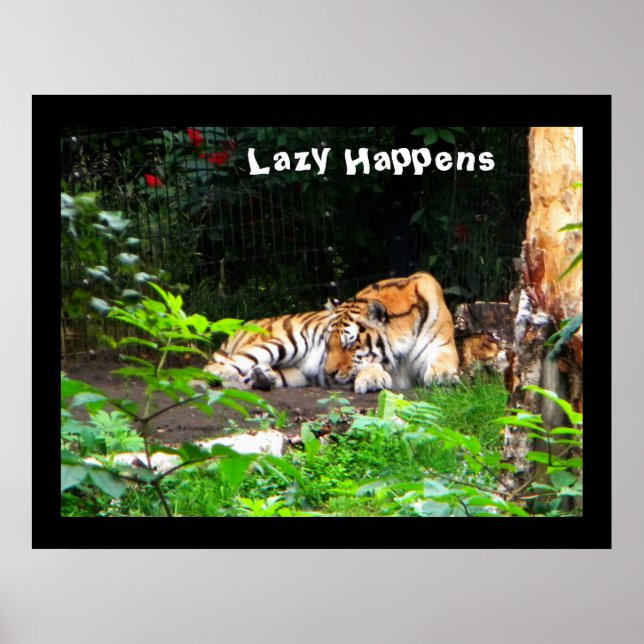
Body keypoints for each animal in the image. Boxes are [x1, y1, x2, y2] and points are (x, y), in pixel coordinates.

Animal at [324, 272, 460, 393]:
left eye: (349, 344)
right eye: (328, 344)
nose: (329, 374)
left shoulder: (441, 345)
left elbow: (442, 360)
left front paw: (443, 376)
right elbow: (366, 364)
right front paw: (371, 378)